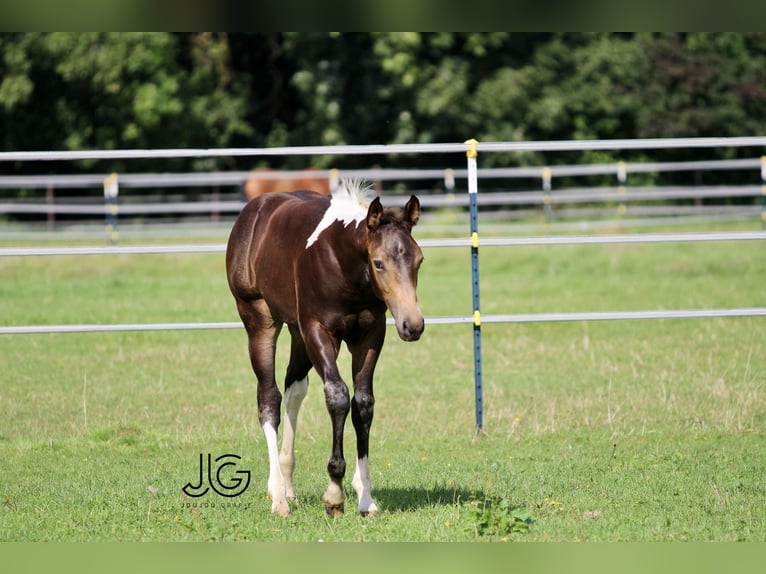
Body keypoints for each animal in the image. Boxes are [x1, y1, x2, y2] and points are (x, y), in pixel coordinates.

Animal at [225, 181, 428, 516]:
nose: (412, 325)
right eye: (378, 263)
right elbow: (337, 396)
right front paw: (334, 495)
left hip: (297, 332)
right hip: (258, 318)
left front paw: (365, 498)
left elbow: (363, 403)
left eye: (419, 260)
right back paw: (278, 496)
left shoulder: (369, 336)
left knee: (294, 388)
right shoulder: (319, 331)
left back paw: (287, 483)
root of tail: (253, 210)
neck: (343, 263)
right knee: (269, 398)